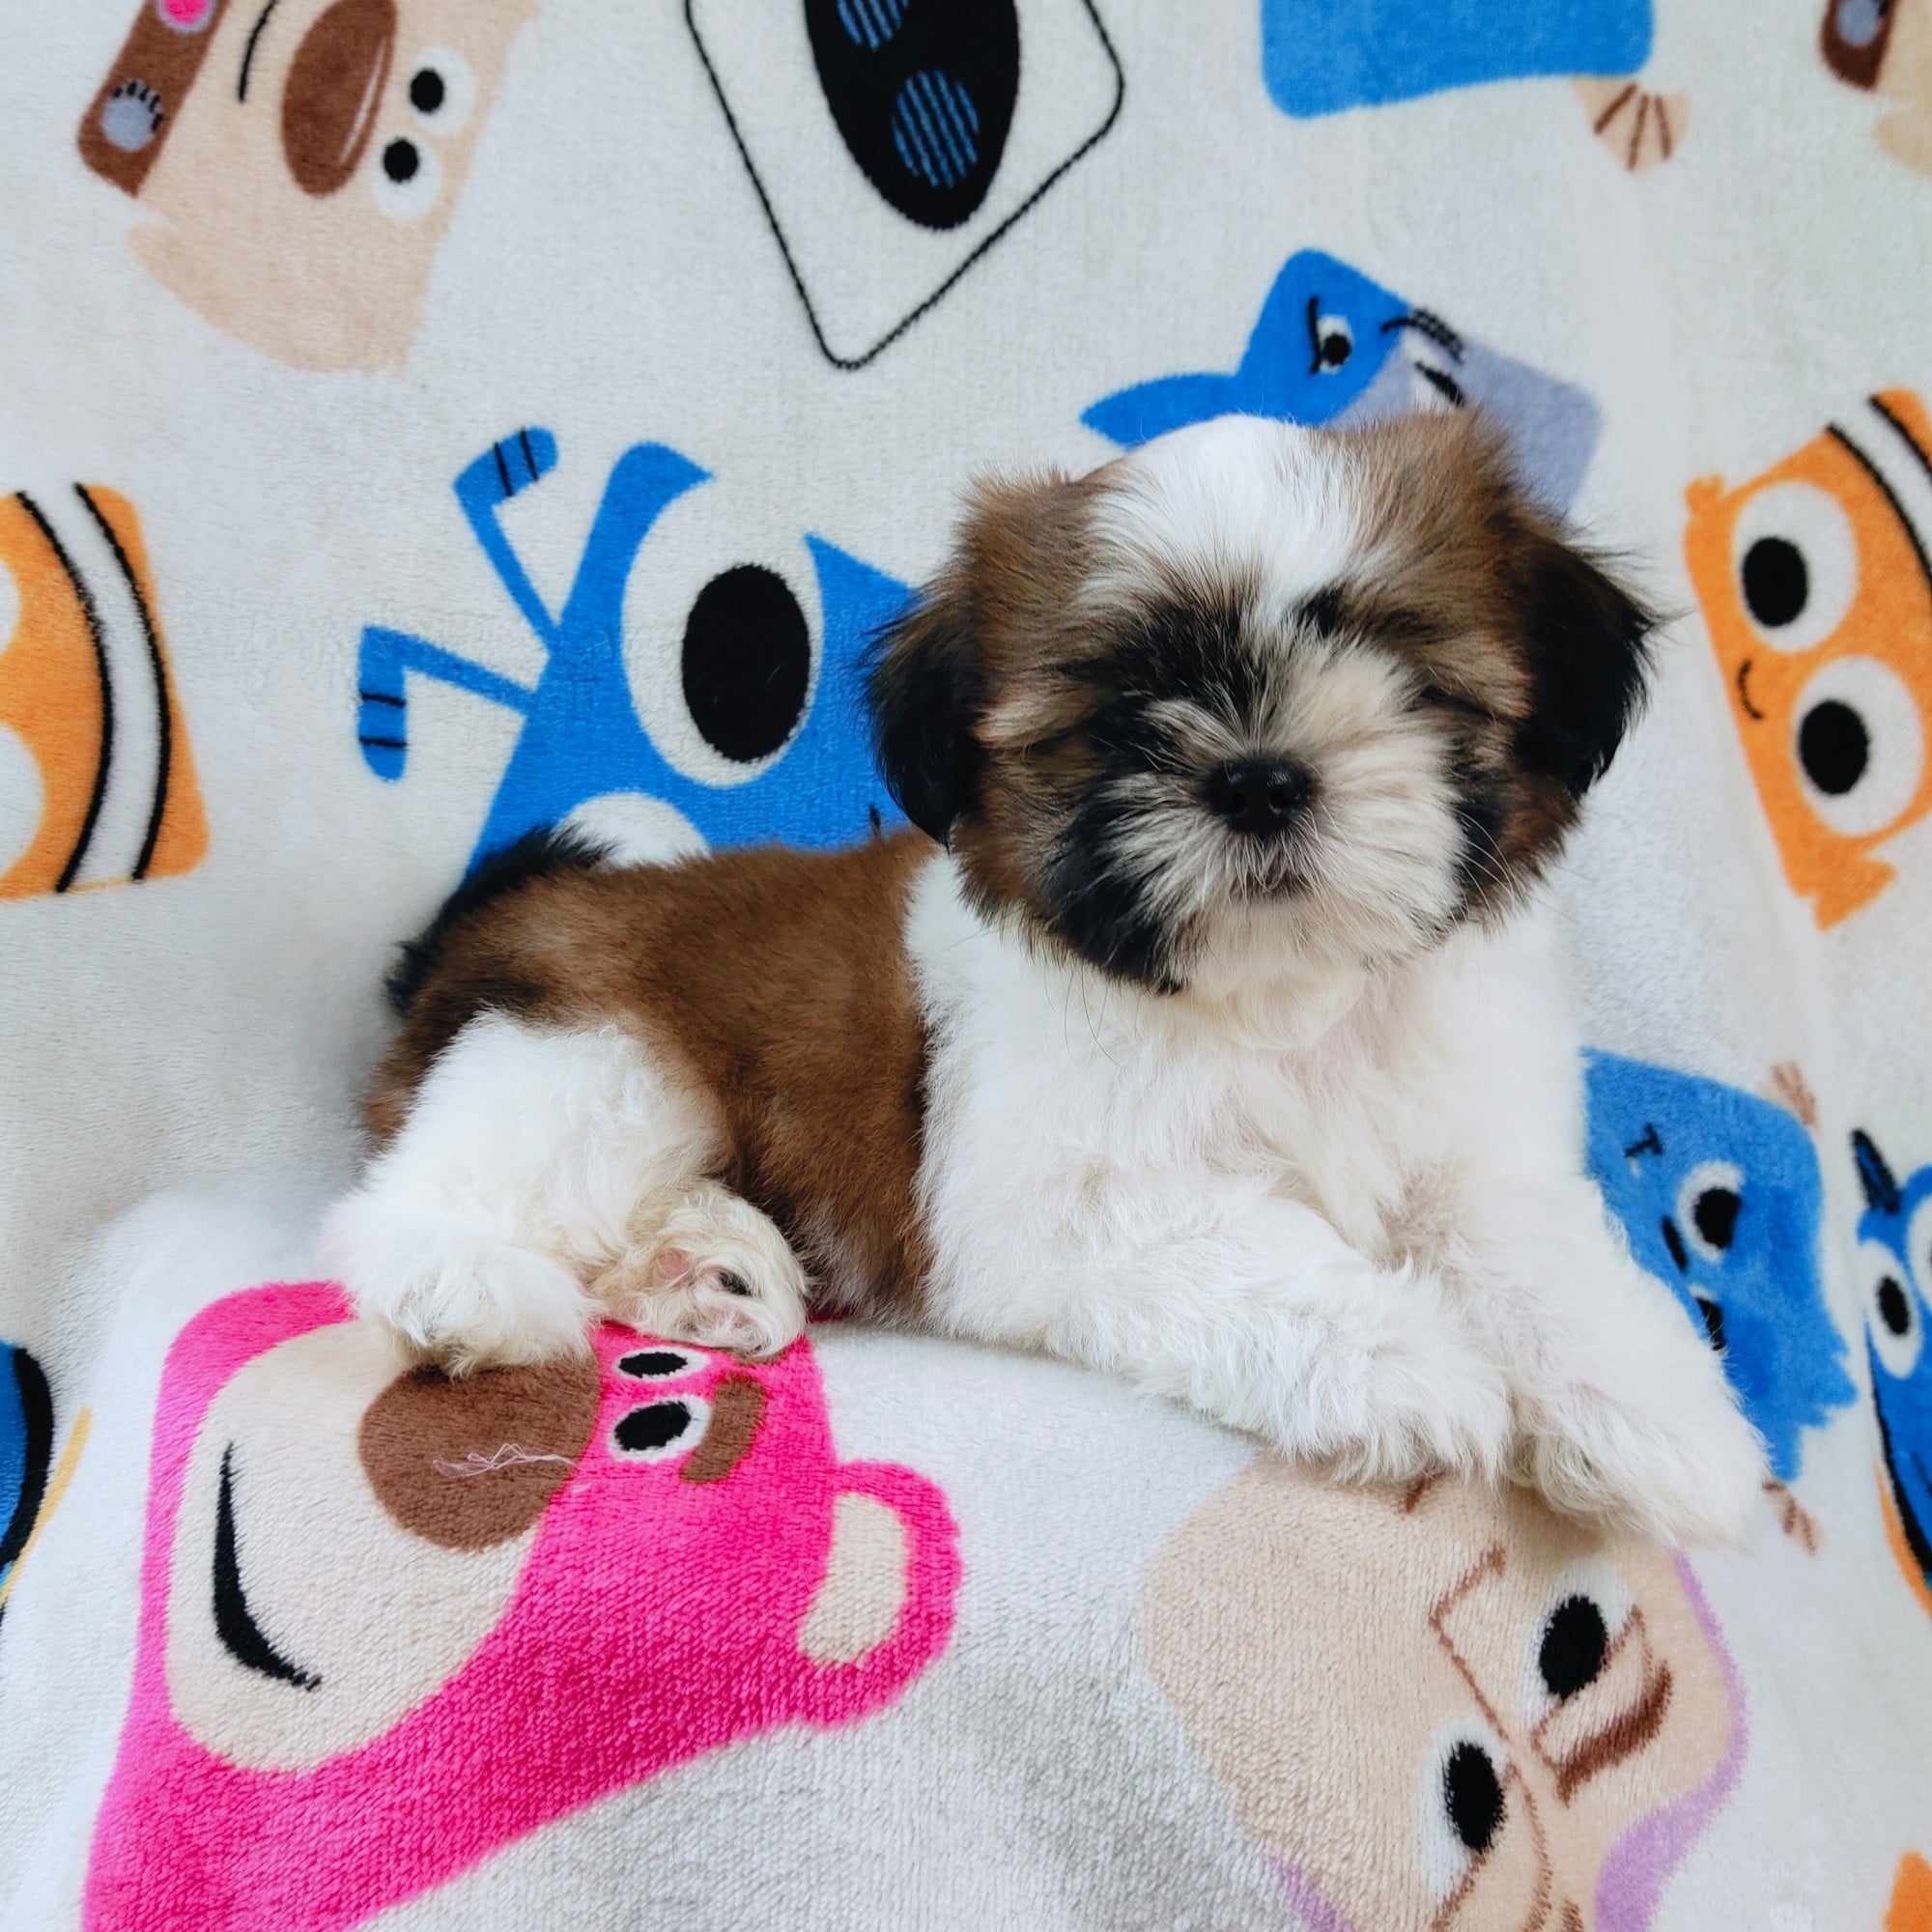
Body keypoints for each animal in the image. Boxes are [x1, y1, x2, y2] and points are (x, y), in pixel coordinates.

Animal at [323, 410, 1767, 1545]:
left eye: (1406, 676)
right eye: (1126, 713)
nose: (1258, 774)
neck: (1281, 1003)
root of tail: (494, 920)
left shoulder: (1471, 1147)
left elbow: (1531, 1252)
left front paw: (1658, 1415)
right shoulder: (1061, 1209)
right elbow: (1254, 1252)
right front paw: (1405, 1358)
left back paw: (709, 1267)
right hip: (595, 1052)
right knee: (425, 1193)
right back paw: (467, 1287)